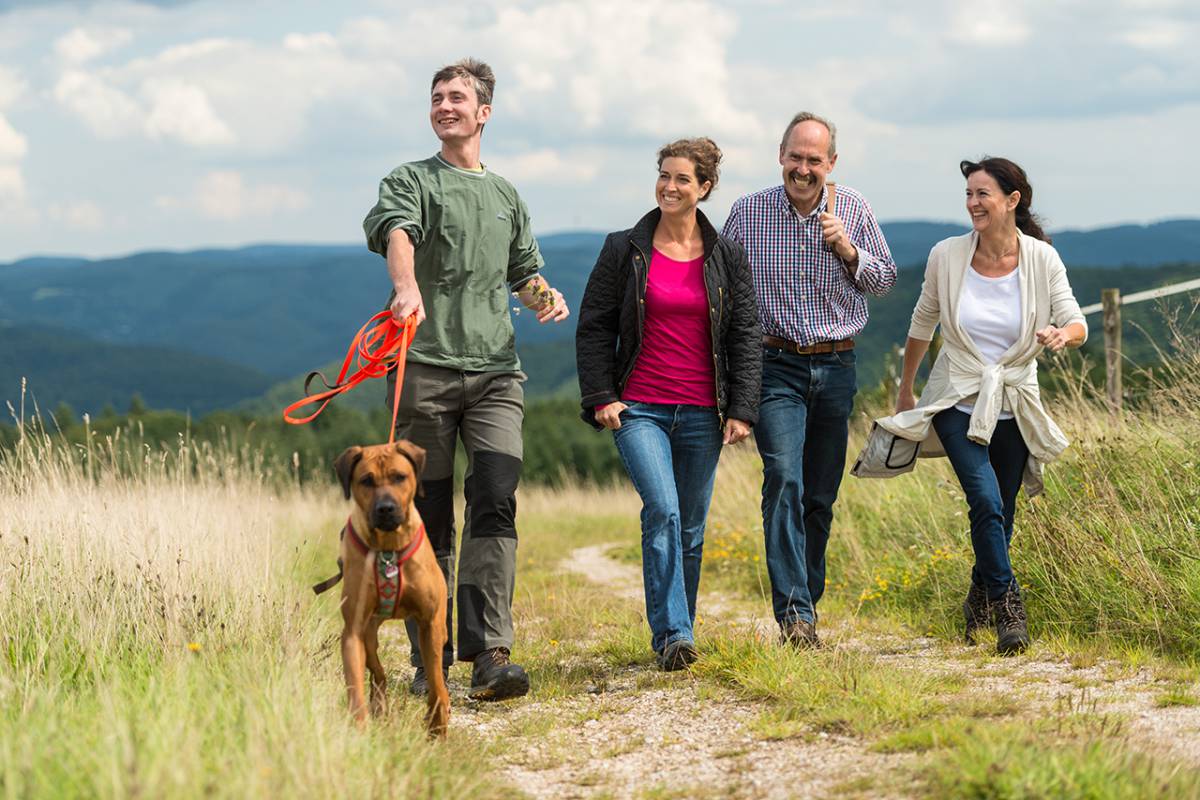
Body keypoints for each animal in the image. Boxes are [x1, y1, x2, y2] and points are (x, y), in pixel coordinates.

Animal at [331, 443, 448, 738]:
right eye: (366, 480)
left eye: (399, 477)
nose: (386, 508)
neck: (388, 548)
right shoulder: (352, 632)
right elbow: (355, 686)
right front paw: (359, 728)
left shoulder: (430, 624)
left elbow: (437, 684)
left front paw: (437, 725)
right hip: (369, 634)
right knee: (378, 672)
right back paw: (380, 706)